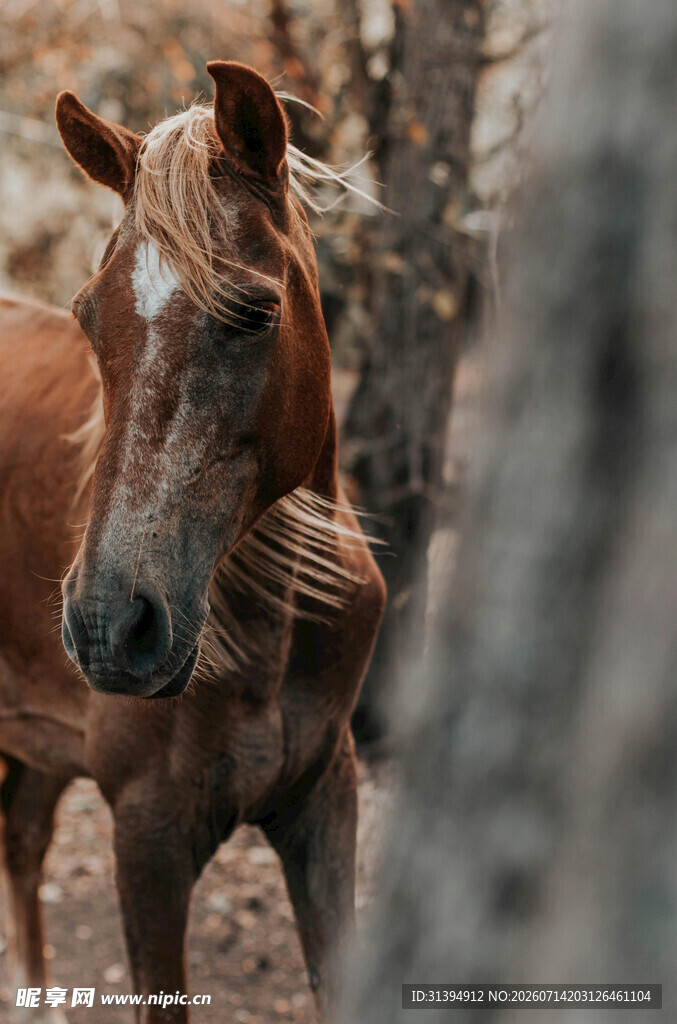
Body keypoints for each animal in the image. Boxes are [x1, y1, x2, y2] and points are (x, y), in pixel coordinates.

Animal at [0, 60, 385, 1023]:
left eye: (253, 312)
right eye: (86, 316)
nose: (109, 624)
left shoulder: (324, 804)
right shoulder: (149, 839)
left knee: (22, 843)